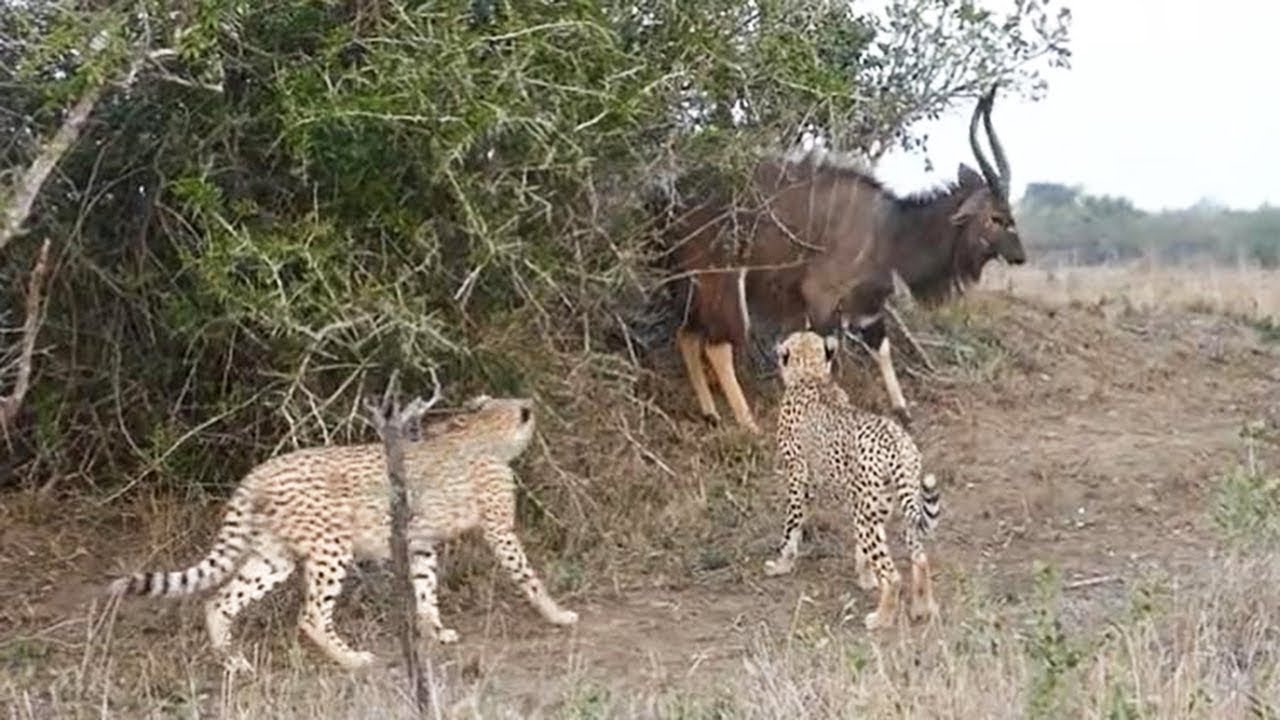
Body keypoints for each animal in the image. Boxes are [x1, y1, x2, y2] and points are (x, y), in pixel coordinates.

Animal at [106, 395, 577, 671]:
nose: (532, 405)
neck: (481, 436)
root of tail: (259, 470)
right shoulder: (500, 530)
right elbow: (528, 576)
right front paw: (557, 614)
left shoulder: (419, 543)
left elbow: (426, 590)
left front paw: (433, 631)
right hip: (331, 550)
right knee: (311, 615)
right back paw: (350, 658)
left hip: (273, 557)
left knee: (219, 601)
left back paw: (234, 662)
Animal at [762, 330, 942, 630]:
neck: (811, 375)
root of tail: (895, 440)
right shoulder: (841, 496)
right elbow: (862, 553)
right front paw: (866, 579)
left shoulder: (798, 479)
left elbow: (790, 529)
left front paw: (781, 565)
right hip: (894, 505)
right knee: (919, 557)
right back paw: (922, 609)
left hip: (867, 513)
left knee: (893, 575)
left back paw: (881, 618)